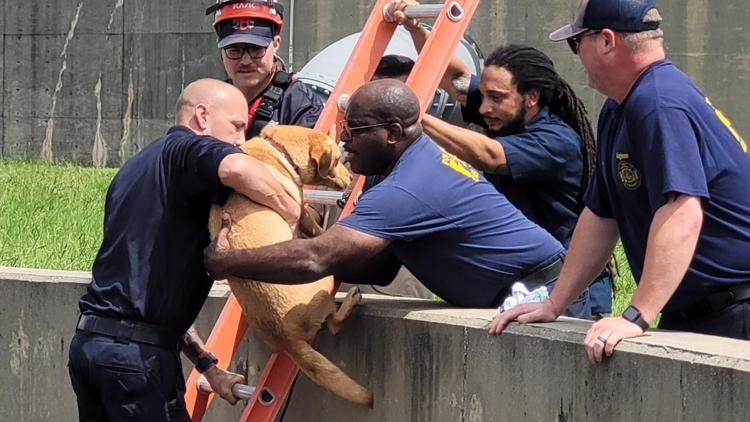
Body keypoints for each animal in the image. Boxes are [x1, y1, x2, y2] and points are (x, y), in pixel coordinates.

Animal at [207, 124, 374, 406]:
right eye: (338, 160)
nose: (352, 178)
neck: (277, 149)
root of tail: (287, 338)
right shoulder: (299, 208)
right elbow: (314, 225)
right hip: (325, 280)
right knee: (333, 323)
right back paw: (350, 300)